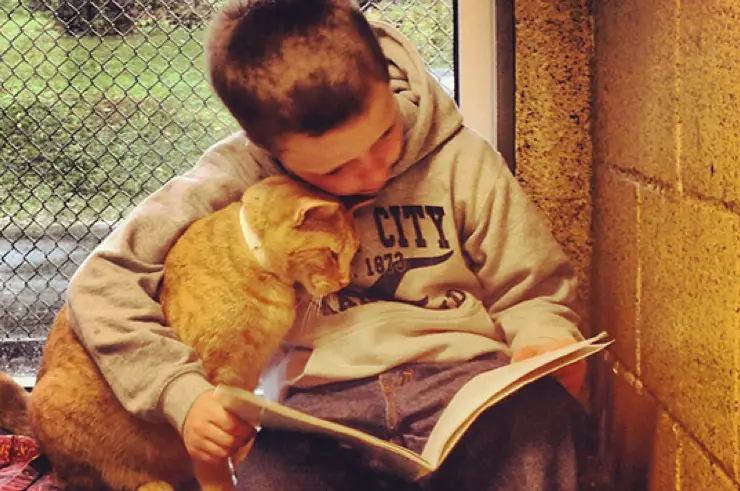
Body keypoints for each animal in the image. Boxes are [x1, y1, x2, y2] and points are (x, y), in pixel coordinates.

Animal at [20, 177, 358, 491]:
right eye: (332, 254)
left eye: (352, 255)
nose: (345, 280)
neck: (259, 264)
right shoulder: (217, 382)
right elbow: (213, 459)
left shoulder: (245, 380)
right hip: (55, 408)